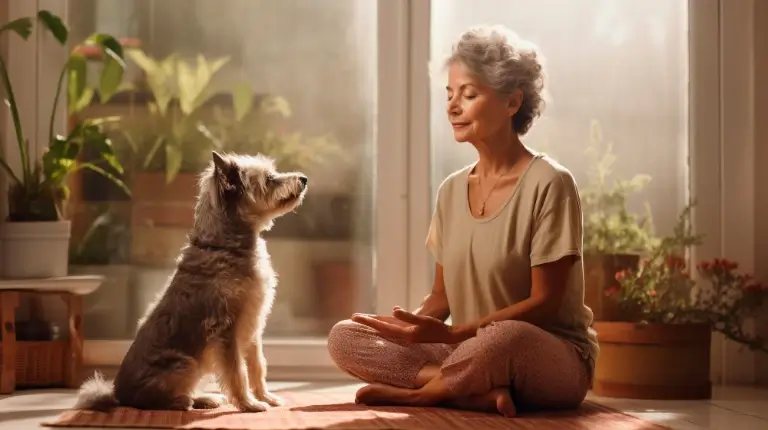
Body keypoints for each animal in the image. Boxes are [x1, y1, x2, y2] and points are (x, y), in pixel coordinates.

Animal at [74, 151, 306, 414]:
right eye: (269, 179)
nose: (304, 179)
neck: (225, 245)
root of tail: (118, 395)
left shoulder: (253, 328)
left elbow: (258, 367)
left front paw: (266, 398)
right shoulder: (226, 331)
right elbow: (237, 372)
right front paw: (249, 404)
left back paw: (204, 399)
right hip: (185, 363)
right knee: (150, 402)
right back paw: (183, 402)